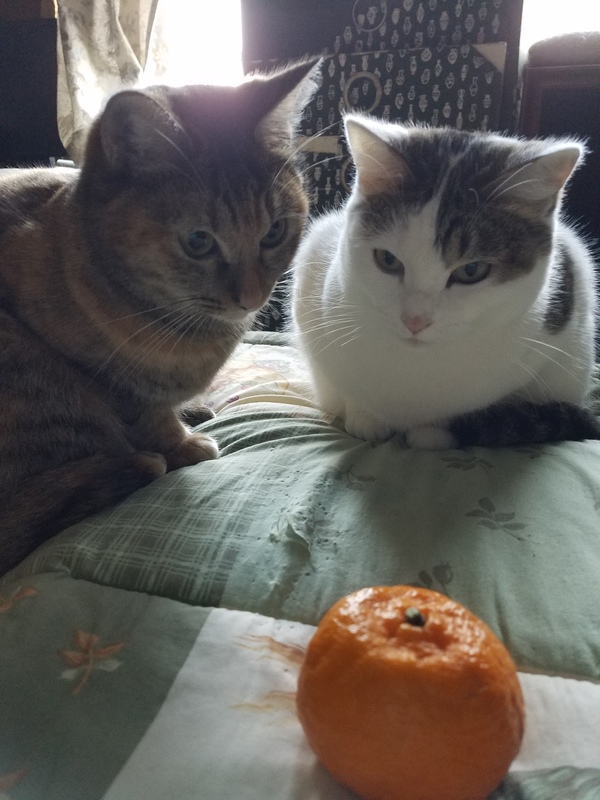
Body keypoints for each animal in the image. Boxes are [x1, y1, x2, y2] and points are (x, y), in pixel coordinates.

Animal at [0, 58, 320, 575]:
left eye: (274, 232)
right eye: (198, 241)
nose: (252, 298)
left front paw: (189, 411)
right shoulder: (104, 379)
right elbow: (147, 415)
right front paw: (183, 444)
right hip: (31, 368)